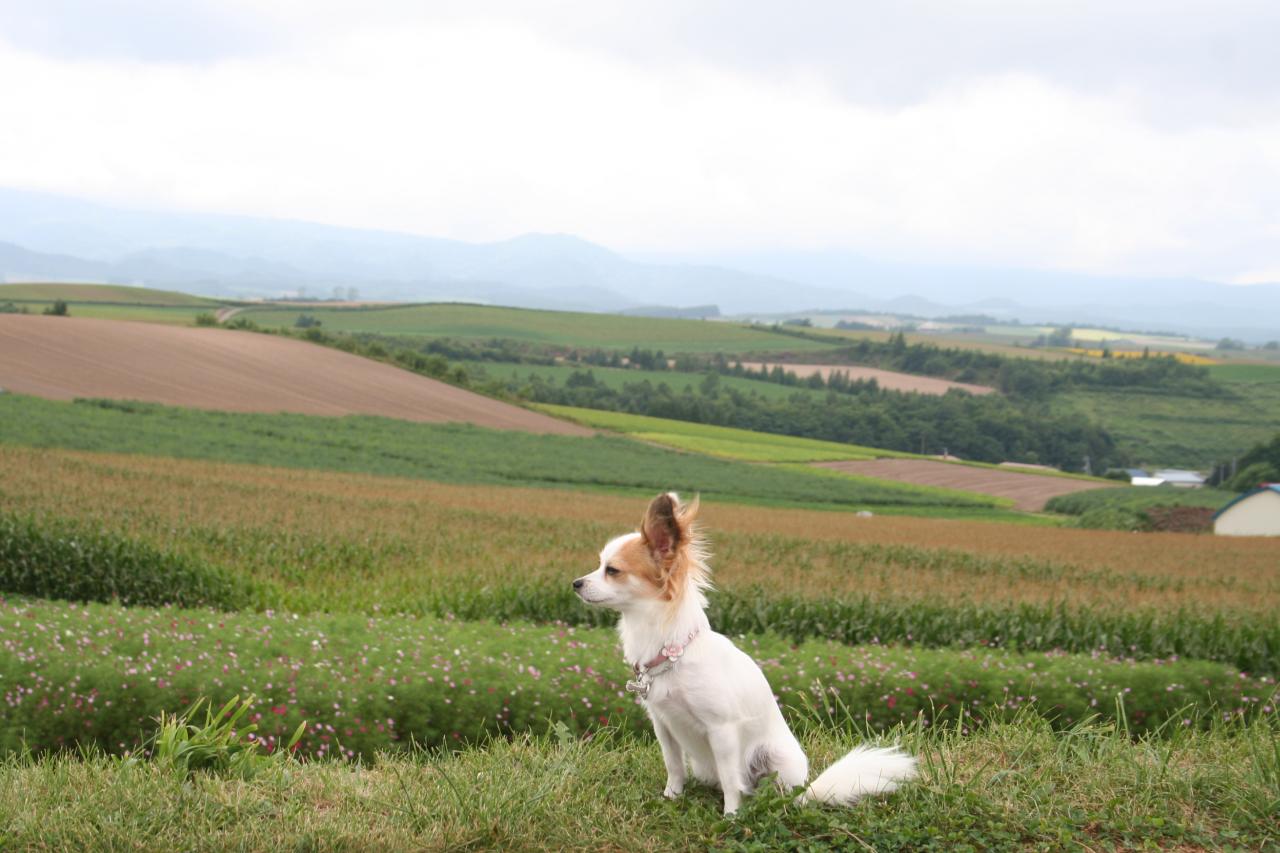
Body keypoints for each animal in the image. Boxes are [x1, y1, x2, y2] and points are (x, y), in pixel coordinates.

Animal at [576, 491, 916, 809]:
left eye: (612, 570)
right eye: (598, 564)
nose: (576, 582)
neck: (673, 651)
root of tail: (809, 788)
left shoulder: (722, 730)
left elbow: (730, 779)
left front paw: (731, 815)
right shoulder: (663, 724)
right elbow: (673, 766)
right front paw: (671, 797)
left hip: (775, 757)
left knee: (771, 791)